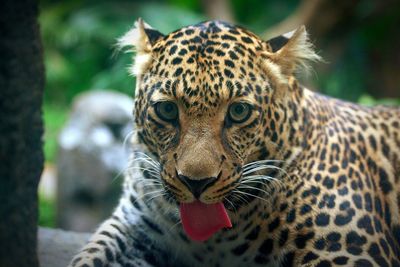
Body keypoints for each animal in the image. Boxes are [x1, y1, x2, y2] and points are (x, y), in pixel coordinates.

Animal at [69, 19, 400, 267]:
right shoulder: (135, 228)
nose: (196, 183)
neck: (216, 239)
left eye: (239, 111)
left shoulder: (347, 252)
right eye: (166, 110)